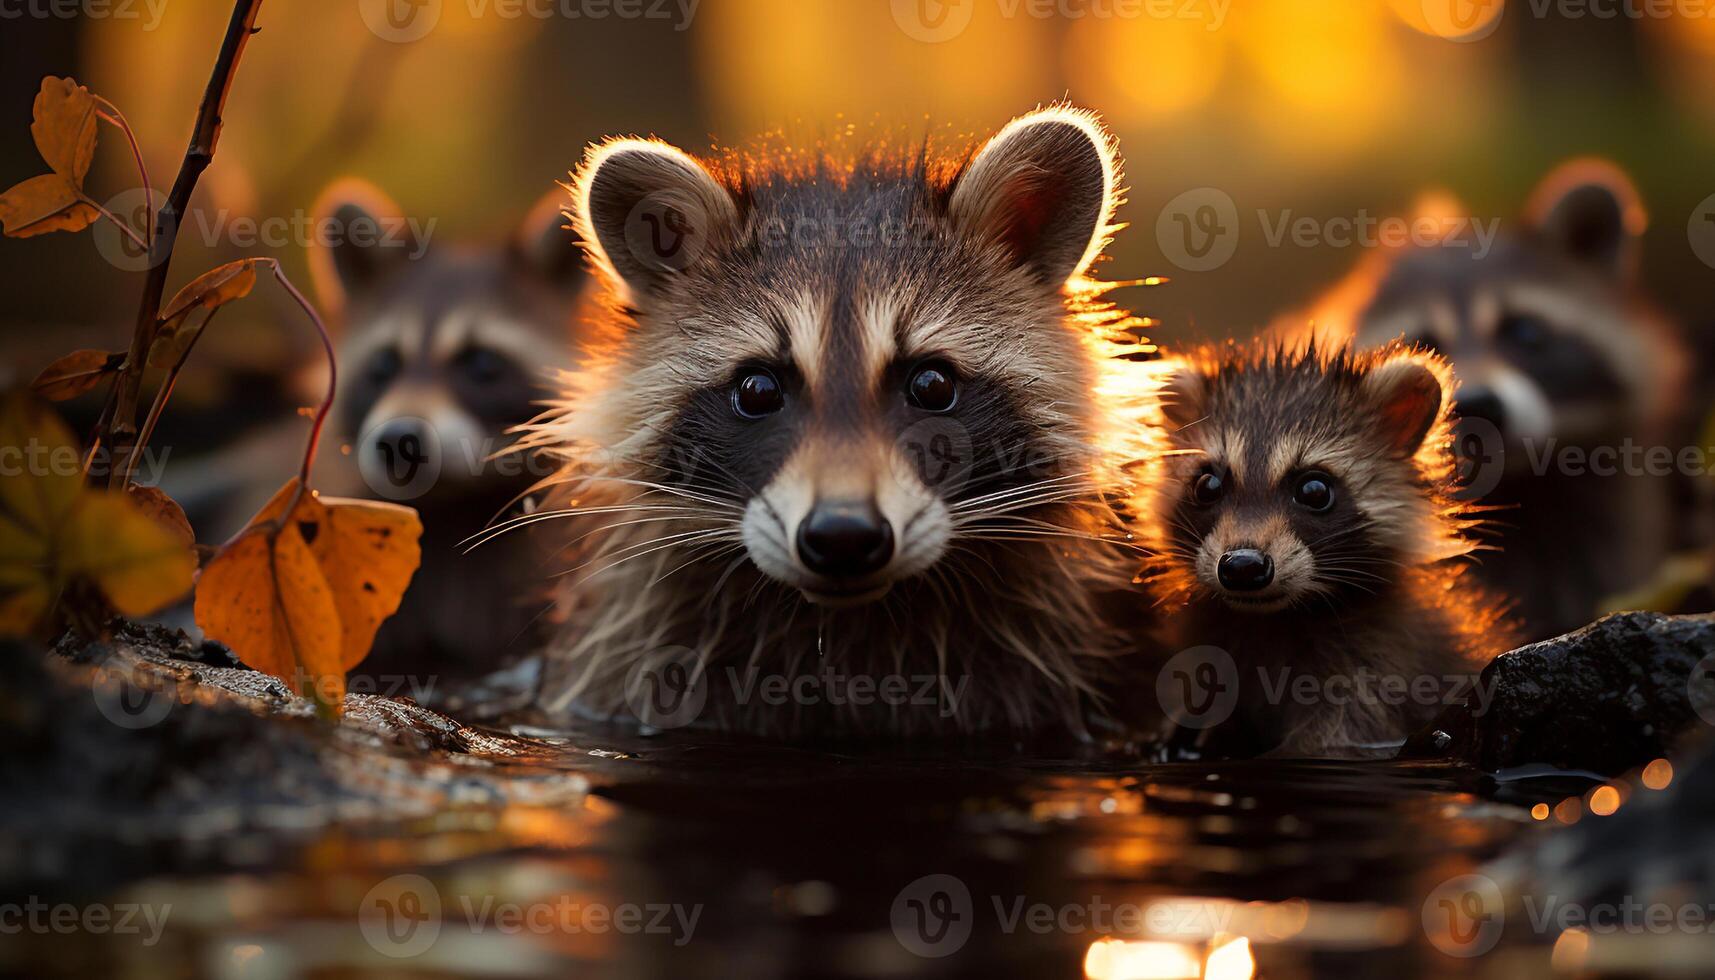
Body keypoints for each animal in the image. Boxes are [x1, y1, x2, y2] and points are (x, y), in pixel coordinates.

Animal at [1145, 339, 1509, 758]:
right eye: (1208, 486)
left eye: (1314, 490)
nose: (1242, 566)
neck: (1271, 618)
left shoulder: (1382, 663)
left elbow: (1336, 738)